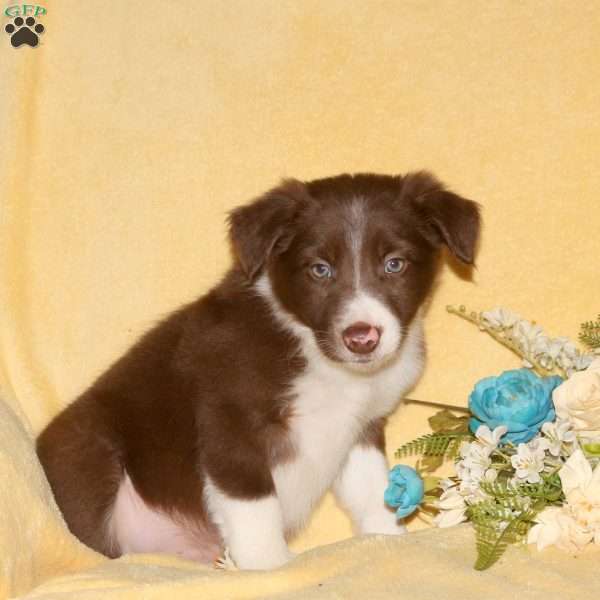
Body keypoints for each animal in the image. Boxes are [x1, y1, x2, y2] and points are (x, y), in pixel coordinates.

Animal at [35, 171, 480, 568]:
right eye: (319, 269)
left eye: (394, 264)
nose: (361, 338)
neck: (317, 353)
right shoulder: (230, 423)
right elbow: (254, 504)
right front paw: (271, 567)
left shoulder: (361, 426)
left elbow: (373, 491)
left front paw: (388, 539)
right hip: (88, 456)